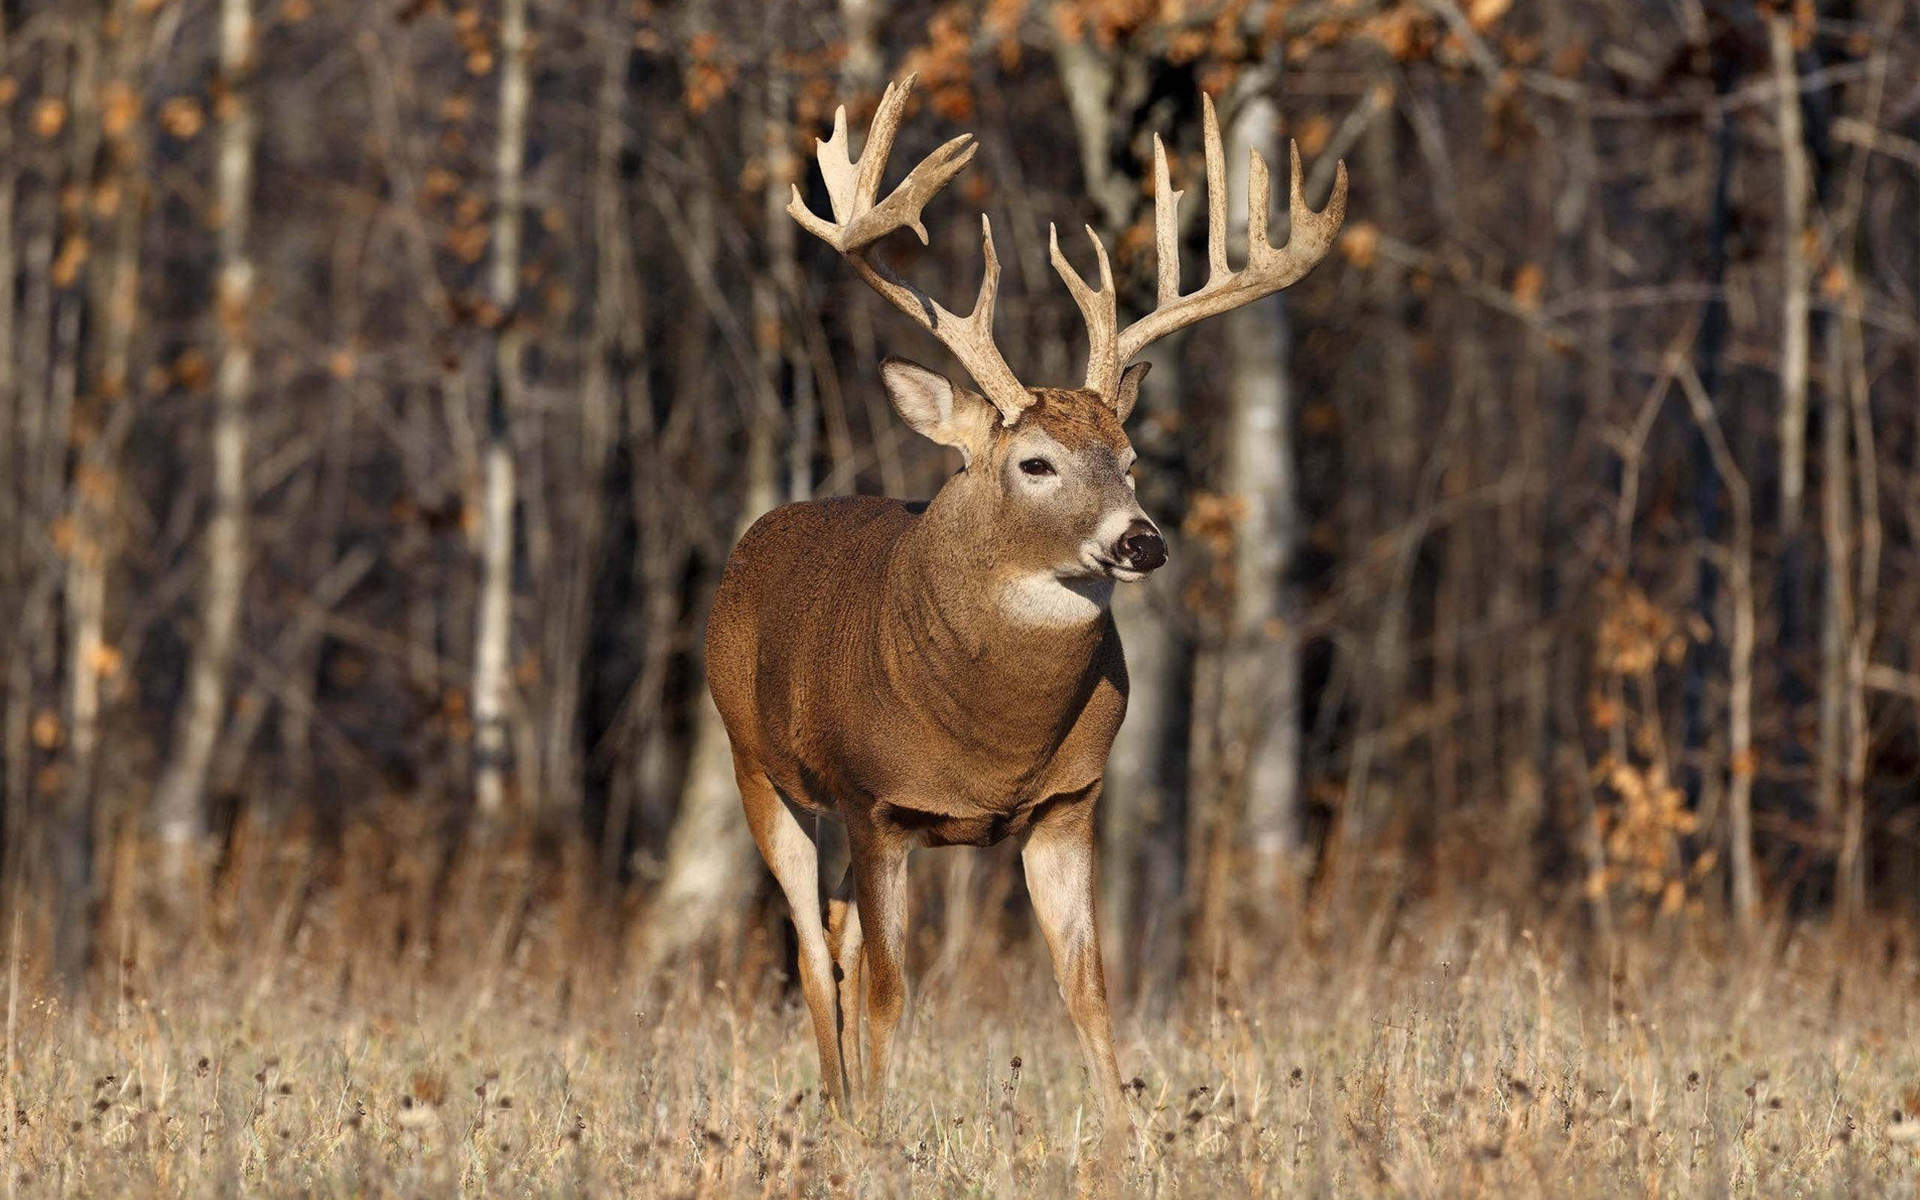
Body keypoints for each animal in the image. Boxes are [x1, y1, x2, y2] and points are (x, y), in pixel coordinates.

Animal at [704, 75, 1346, 1136]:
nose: (1141, 541)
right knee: (809, 945)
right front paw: (879, 1139)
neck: (992, 740)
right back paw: (841, 1114)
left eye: (1129, 456)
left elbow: (1086, 986)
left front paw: (1128, 1142)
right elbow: (892, 989)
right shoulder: (877, 802)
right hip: (759, 767)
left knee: (835, 936)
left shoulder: (1069, 802)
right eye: (1034, 464)